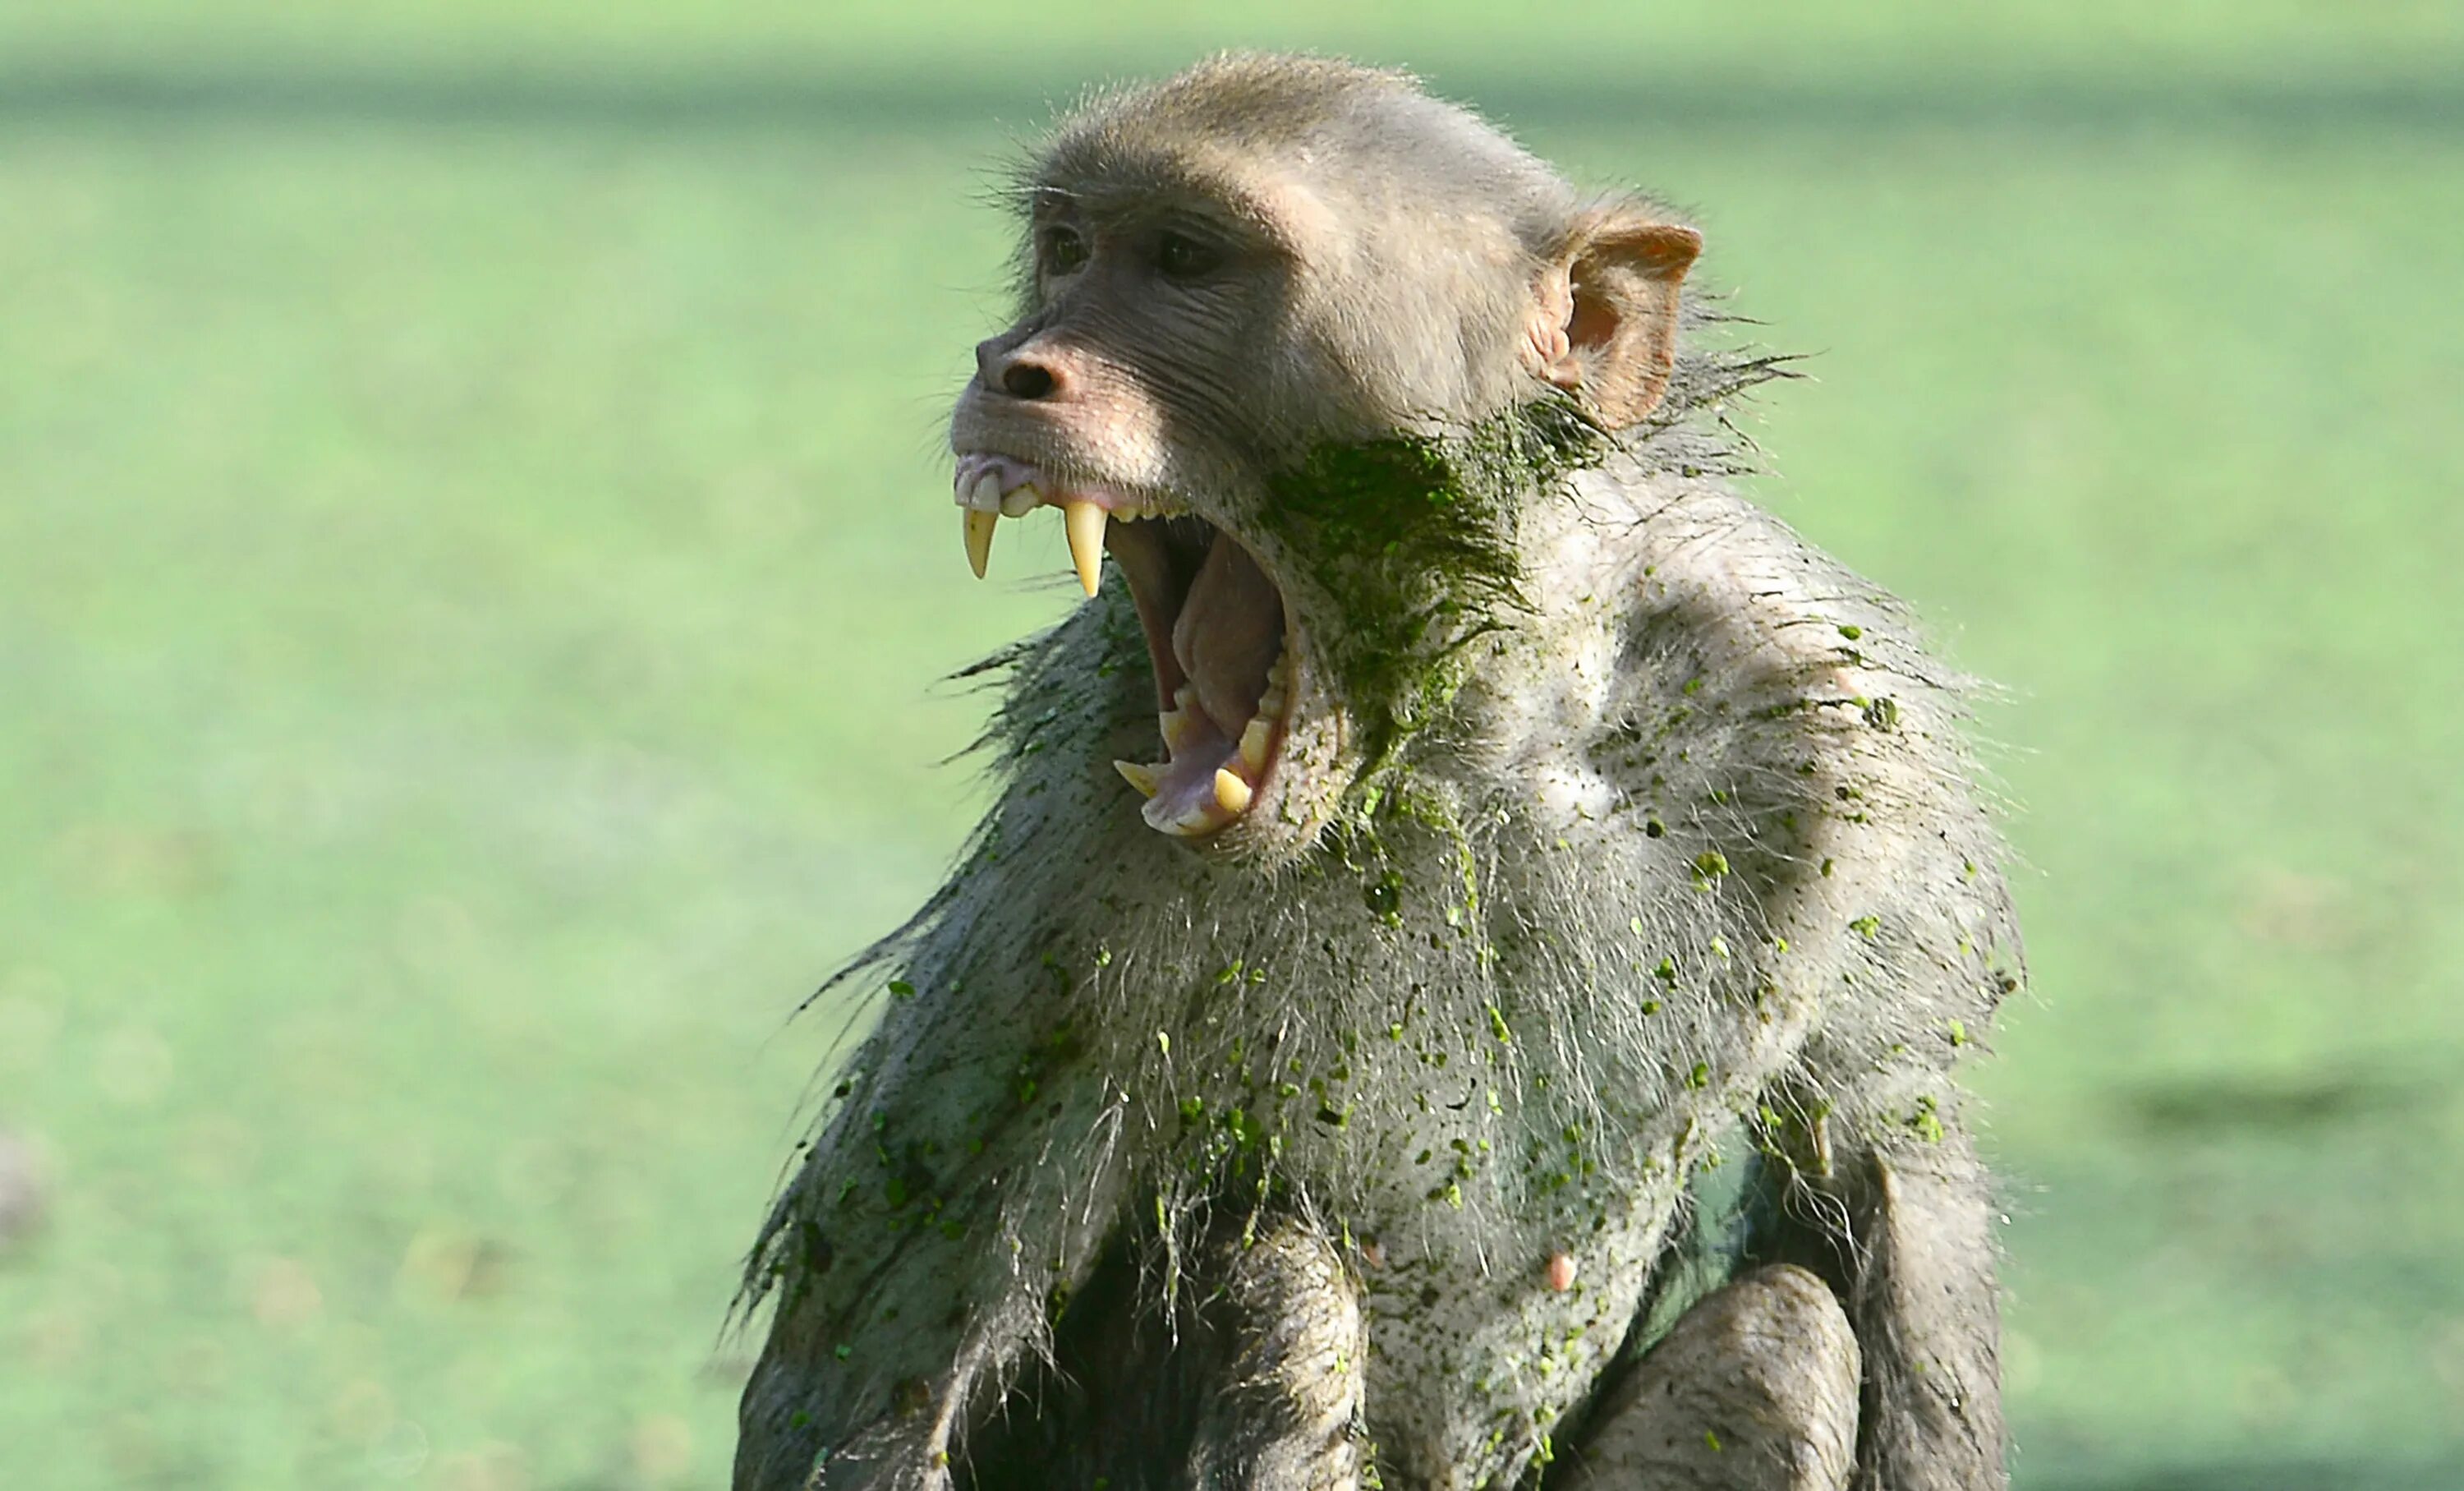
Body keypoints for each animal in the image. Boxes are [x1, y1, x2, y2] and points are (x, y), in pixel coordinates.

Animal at [729, 52, 2020, 1489]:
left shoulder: (1850, 741)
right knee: (1289, 1291)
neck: (1479, 728)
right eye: (1065, 251)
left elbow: (1887, 1159)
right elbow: (890, 1353)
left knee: (1786, 1328)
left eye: (1184, 259)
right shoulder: (1075, 826)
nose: (1012, 364)